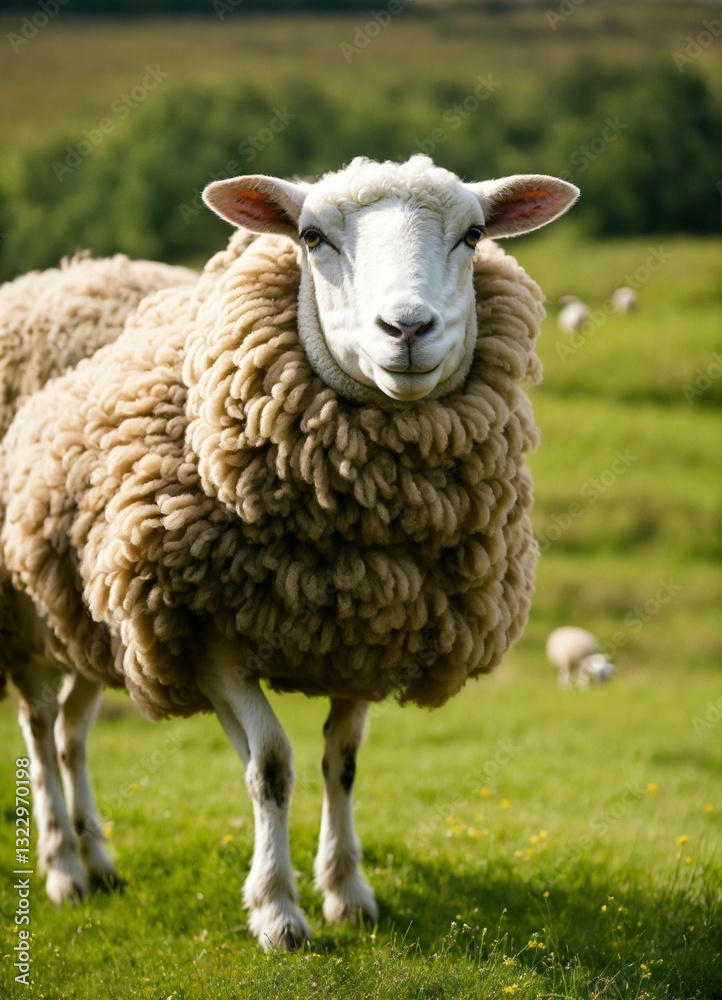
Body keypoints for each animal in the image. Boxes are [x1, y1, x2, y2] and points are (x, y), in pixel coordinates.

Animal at [0, 155, 579, 951]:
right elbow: (270, 765)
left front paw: (347, 892)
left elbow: (343, 762)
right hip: (27, 618)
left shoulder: (372, 629)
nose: (407, 328)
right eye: (310, 236)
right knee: (37, 727)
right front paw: (278, 910)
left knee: (70, 733)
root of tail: (73, 271)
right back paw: (61, 866)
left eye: (473, 234)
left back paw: (98, 858)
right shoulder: (206, 634)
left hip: (96, 616)